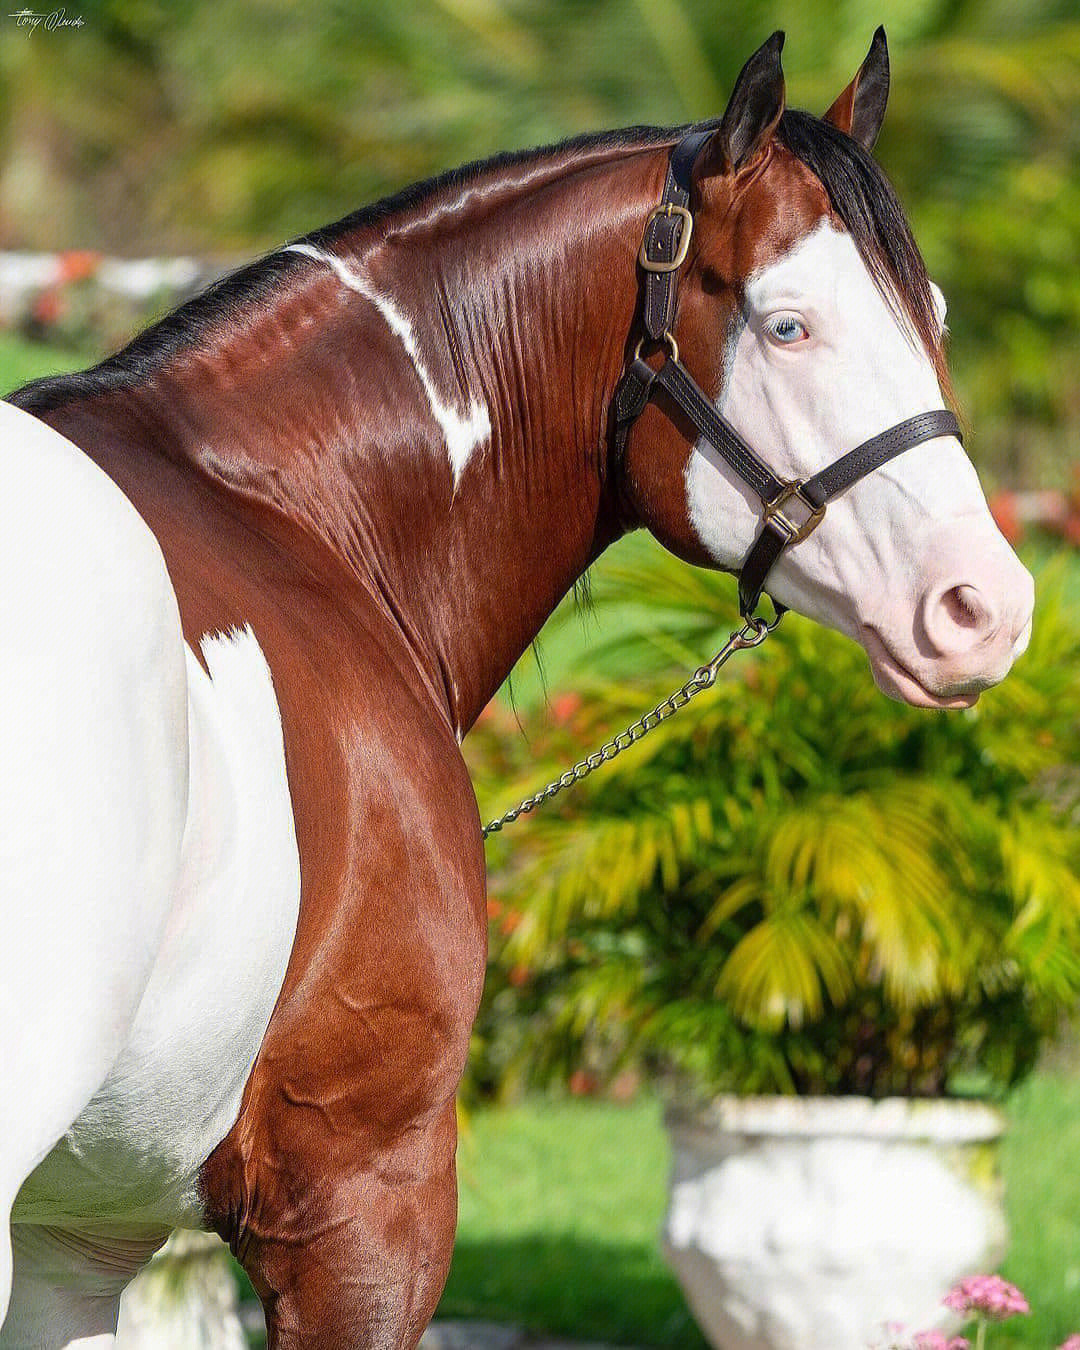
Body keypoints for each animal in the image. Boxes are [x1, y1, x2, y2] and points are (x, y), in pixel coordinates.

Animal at [0, 29, 1031, 1350]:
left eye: (933, 314)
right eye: (789, 326)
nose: (984, 606)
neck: (287, 507)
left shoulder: (72, 1244)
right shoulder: (362, 1199)